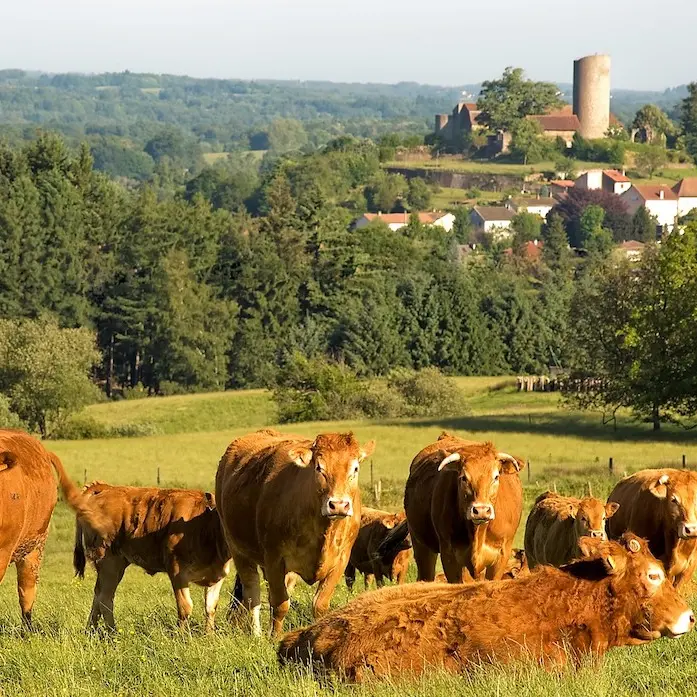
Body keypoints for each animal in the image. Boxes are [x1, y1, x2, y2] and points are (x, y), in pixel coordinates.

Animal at [70, 482, 231, 631]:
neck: (205, 527)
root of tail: (107, 487)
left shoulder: (217, 576)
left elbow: (210, 607)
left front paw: (209, 636)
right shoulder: (177, 571)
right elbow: (185, 607)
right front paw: (183, 637)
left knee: (98, 595)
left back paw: (90, 631)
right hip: (109, 562)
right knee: (105, 598)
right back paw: (112, 633)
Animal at [215, 429, 375, 637]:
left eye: (355, 469)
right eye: (319, 468)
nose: (338, 505)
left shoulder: (341, 560)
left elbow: (319, 605)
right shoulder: (274, 558)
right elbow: (280, 604)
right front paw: (274, 637)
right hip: (238, 550)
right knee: (252, 593)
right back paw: (257, 634)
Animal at [404, 433, 524, 583]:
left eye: (496, 477)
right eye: (463, 478)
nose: (481, 511)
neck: (478, 533)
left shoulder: (501, 554)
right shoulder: (450, 555)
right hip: (421, 545)